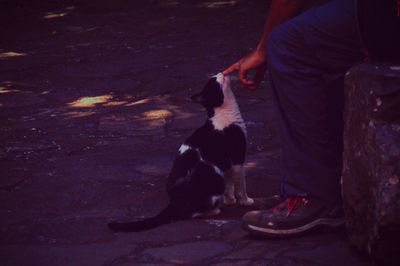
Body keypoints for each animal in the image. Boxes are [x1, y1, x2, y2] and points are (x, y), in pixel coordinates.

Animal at [108, 73, 253, 233]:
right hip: (214, 176)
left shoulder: (226, 164)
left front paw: (230, 200)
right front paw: (246, 201)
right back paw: (215, 210)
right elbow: (241, 185)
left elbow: (229, 185)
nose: (219, 73)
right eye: (214, 82)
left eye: (215, 78)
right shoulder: (238, 159)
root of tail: (173, 202)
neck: (224, 114)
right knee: (191, 214)